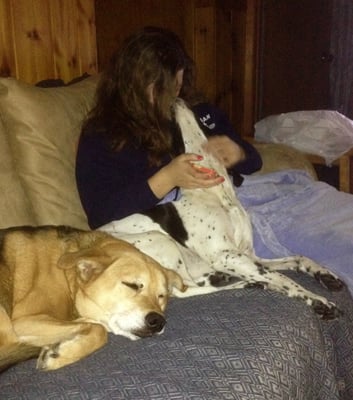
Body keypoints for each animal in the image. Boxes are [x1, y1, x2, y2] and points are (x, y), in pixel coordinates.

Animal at [0, 227, 186, 370]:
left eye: (162, 296)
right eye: (131, 285)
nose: (158, 322)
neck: (69, 278)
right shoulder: (24, 321)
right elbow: (99, 330)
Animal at [100, 98, 342, 320]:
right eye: (170, 128)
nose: (175, 100)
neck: (216, 194)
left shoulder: (246, 254)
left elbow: (299, 259)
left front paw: (324, 274)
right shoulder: (225, 254)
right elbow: (281, 277)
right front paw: (316, 299)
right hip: (161, 240)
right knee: (183, 289)